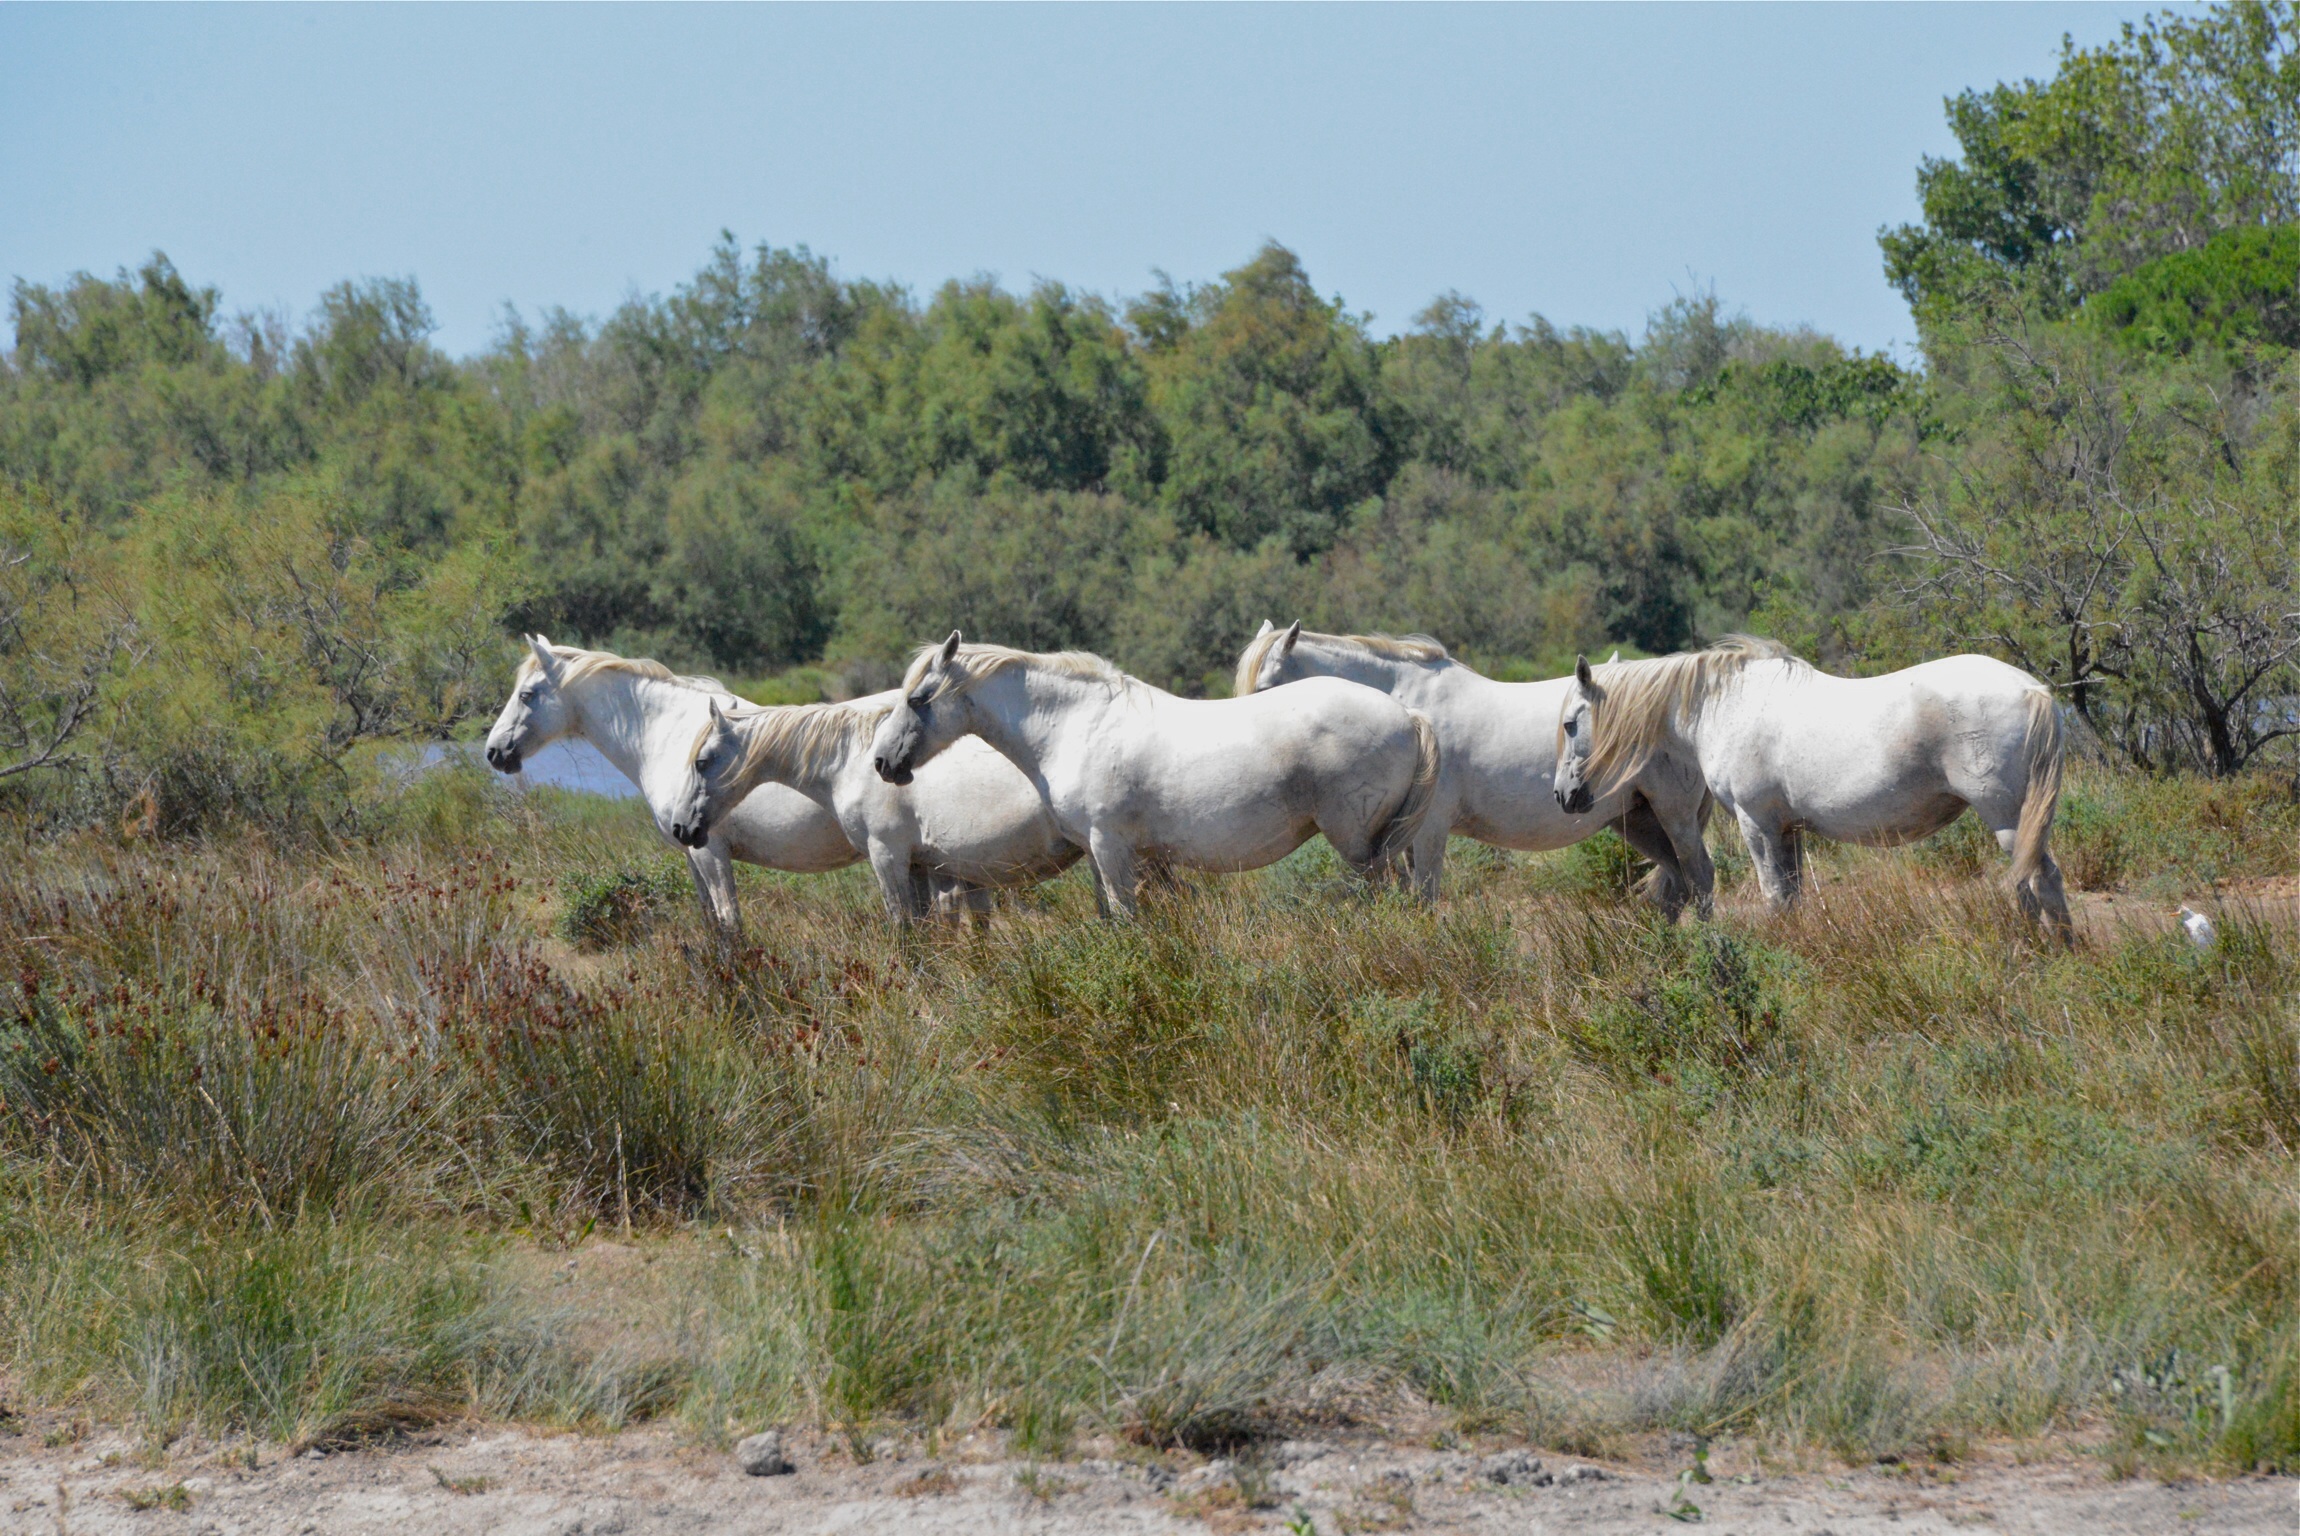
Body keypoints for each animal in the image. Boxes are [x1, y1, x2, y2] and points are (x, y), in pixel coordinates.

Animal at [667, 689, 1082, 926]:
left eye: (701, 762)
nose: (680, 827)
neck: (854, 762)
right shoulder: (918, 864)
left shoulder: (886, 856)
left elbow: (904, 931)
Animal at [866, 632, 1441, 918]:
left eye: (918, 699)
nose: (882, 763)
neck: (1079, 727)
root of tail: (1408, 715)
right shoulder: (1112, 855)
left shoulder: (1110, 846)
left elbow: (1126, 918)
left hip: (1359, 843)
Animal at [1235, 621, 1704, 909]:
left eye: (1264, 689)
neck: (1406, 705)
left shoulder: (1428, 831)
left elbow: (1425, 897)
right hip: (1637, 818)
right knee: (1678, 885)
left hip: (1674, 815)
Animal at [1550, 637, 2070, 939]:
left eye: (1571, 723)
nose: (1563, 796)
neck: (1727, 707)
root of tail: (2033, 691)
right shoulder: (1788, 830)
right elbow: (1793, 896)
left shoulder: (1756, 824)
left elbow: (1774, 896)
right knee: (2040, 880)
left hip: (2005, 817)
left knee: (2036, 879)